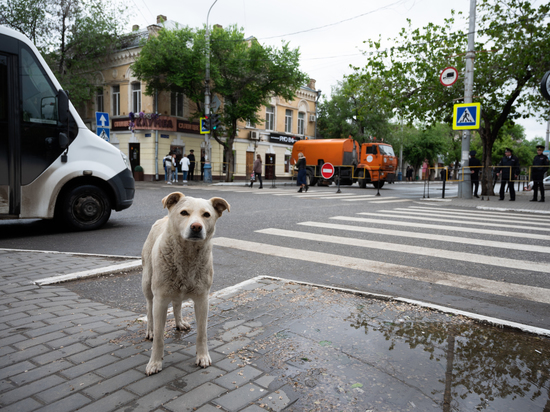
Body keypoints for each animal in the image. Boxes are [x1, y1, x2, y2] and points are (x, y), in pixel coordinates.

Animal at [142, 192, 231, 374]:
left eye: (206, 215)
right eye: (184, 213)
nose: (196, 227)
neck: (187, 256)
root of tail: (164, 217)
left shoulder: (202, 299)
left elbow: (202, 333)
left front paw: (202, 356)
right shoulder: (160, 300)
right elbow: (160, 337)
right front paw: (155, 362)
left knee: (177, 304)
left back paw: (179, 323)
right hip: (147, 282)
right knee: (149, 306)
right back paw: (150, 330)